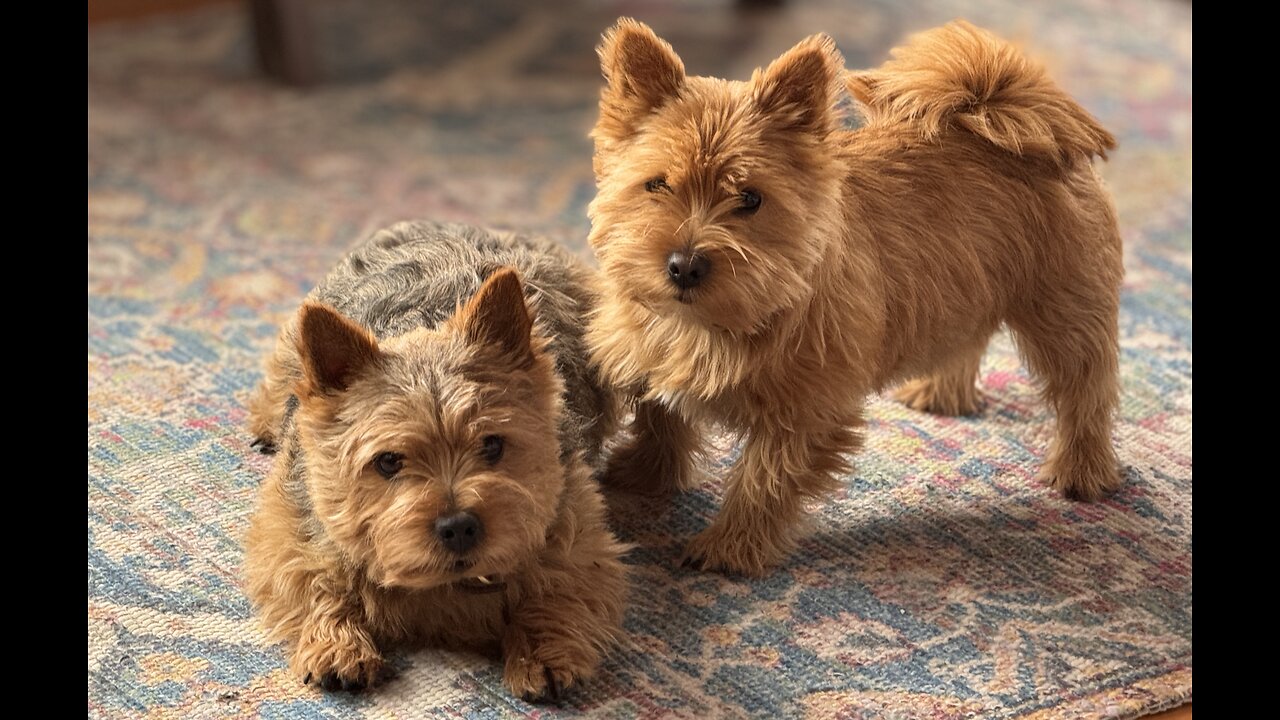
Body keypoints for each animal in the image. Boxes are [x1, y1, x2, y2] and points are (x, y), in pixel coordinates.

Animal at [586, 19, 1121, 573]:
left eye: (750, 198)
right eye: (656, 185)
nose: (684, 265)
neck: (711, 324)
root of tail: (1022, 113)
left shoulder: (807, 411)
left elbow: (763, 479)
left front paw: (729, 547)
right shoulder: (644, 360)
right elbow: (660, 420)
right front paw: (643, 475)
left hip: (1065, 313)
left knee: (1087, 390)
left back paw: (1081, 471)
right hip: (963, 288)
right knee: (967, 340)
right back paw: (938, 395)